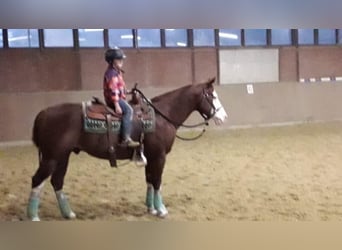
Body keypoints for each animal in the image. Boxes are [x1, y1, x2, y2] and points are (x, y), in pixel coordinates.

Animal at [25, 77, 226, 221]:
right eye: (213, 96)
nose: (223, 117)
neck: (162, 116)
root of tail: (43, 113)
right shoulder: (159, 156)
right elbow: (157, 181)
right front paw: (161, 210)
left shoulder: (150, 156)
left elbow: (149, 180)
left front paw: (151, 208)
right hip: (51, 157)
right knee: (37, 180)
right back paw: (33, 216)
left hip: (63, 156)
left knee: (57, 181)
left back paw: (68, 214)